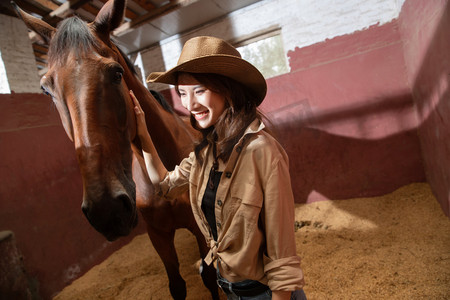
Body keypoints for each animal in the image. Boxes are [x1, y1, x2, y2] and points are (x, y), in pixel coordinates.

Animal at [12, 1, 220, 298]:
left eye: (116, 73)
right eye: (45, 89)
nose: (106, 209)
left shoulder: (199, 228)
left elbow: (210, 277)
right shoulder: (158, 235)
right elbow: (177, 285)